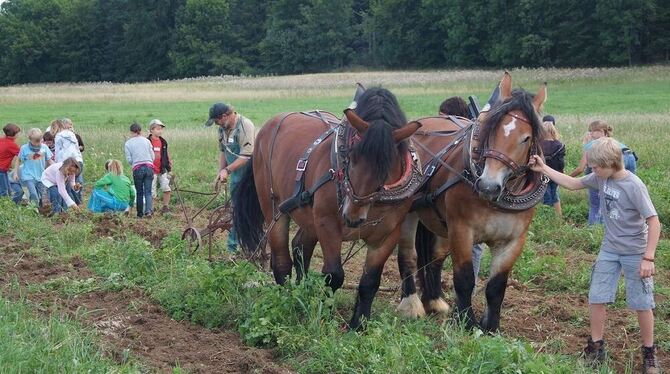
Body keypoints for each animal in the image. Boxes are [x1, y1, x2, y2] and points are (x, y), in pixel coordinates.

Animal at [235, 87, 426, 330]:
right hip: (274, 208)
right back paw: (287, 298)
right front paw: (325, 313)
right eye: (351, 156)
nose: (352, 216)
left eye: (387, 165)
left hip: (308, 215)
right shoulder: (327, 223)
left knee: (300, 247)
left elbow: (370, 282)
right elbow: (333, 275)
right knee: (281, 261)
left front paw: (358, 324)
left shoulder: (389, 234)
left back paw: (303, 292)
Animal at [400, 72, 544, 330]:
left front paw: (491, 327)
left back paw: (434, 300)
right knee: (408, 255)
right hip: (410, 214)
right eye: (490, 128)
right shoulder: (461, 230)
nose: (488, 185)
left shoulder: (514, 240)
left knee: (435, 258)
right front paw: (467, 321)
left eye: (526, 138)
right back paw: (412, 305)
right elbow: (465, 278)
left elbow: (497, 286)